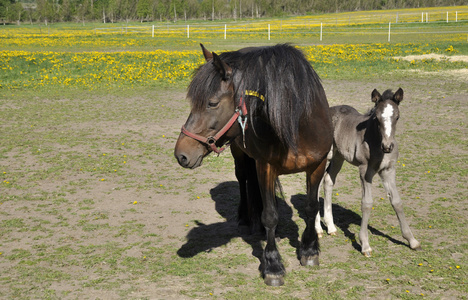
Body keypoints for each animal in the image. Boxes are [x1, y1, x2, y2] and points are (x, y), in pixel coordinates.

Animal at [173, 44, 332, 286]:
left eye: (212, 103)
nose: (181, 155)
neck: (297, 126)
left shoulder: (317, 166)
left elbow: (311, 207)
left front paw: (309, 250)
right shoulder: (265, 166)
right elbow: (270, 215)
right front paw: (273, 265)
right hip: (240, 154)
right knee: (243, 179)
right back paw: (246, 218)